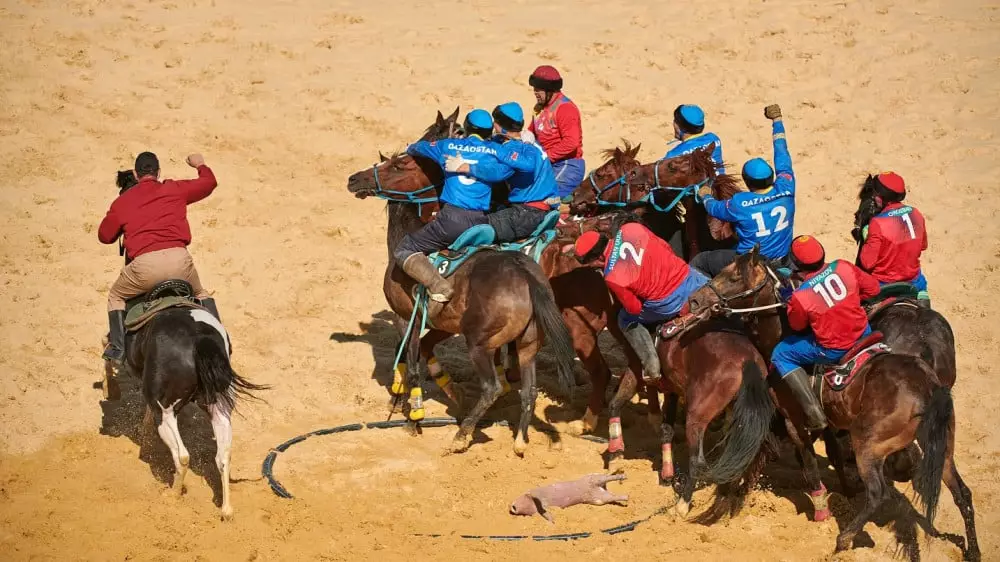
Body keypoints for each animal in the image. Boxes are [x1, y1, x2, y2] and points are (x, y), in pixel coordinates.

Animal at [107, 278, 268, 520]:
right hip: (218, 407)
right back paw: (226, 510)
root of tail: (199, 338)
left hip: (165, 413)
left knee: (182, 456)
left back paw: (173, 495)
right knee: (223, 456)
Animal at [346, 128, 576, 456]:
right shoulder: (443, 324)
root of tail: (526, 275)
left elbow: (410, 364)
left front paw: (412, 416)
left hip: (480, 344)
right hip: (528, 343)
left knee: (492, 387)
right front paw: (446, 392)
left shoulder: (407, 317)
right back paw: (519, 439)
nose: (354, 179)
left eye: (398, 165)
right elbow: (424, 352)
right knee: (529, 391)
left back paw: (461, 435)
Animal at [684, 252, 980, 556]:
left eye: (732, 277)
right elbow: (828, 455)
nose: (695, 300)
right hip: (942, 448)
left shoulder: (794, 422)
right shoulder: (824, 425)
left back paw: (844, 538)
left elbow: (809, 466)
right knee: (962, 492)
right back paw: (972, 549)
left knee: (878, 494)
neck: (781, 334)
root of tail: (926, 385)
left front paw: (820, 508)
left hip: (869, 446)